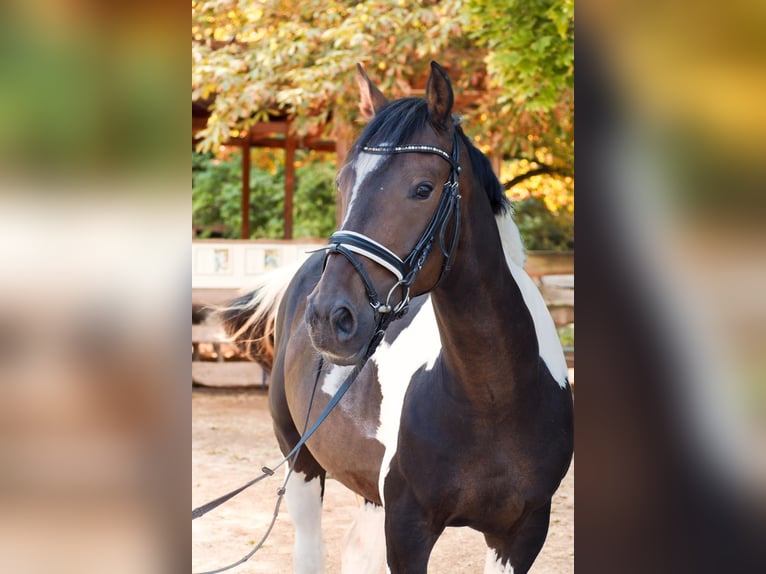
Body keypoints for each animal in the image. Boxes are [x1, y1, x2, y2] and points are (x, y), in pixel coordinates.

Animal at [220, 61, 573, 574]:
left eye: (423, 189)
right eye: (343, 183)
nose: (329, 316)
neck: (492, 397)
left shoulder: (522, 534)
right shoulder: (408, 528)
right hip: (300, 459)